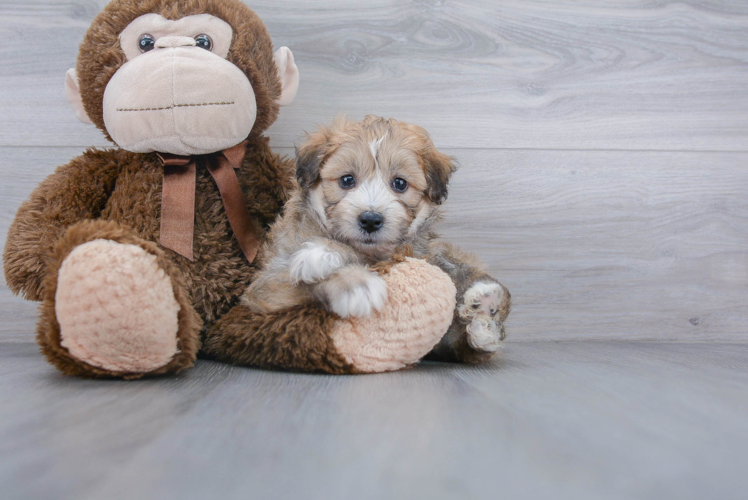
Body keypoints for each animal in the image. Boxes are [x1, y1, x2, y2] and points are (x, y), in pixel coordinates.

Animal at [243, 115, 512, 362]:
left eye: (400, 183)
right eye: (347, 180)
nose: (371, 220)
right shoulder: (267, 288)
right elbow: (303, 282)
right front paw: (351, 281)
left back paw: (485, 310)